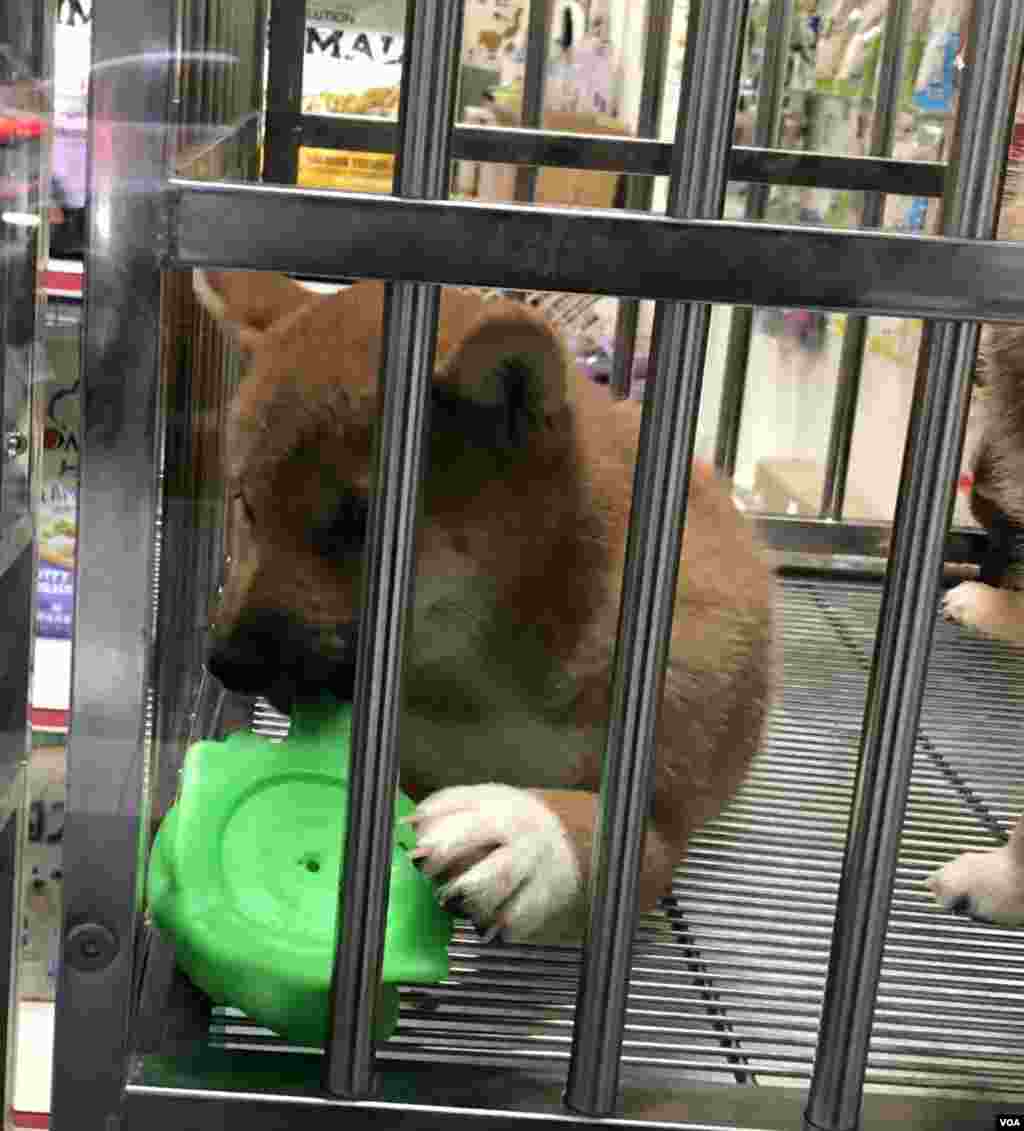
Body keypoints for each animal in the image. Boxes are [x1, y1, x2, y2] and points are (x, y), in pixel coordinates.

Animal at [198, 271, 773, 945]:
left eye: (360, 523)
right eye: (246, 504)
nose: (225, 662)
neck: (485, 686)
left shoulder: (656, 817)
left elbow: (602, 827)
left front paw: (523, 831)